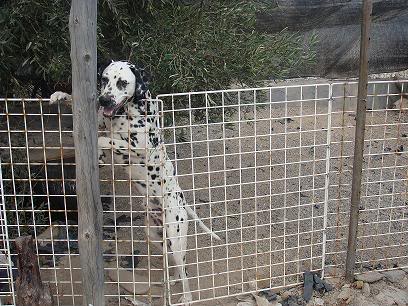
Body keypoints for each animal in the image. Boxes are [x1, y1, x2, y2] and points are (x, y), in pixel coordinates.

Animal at [52, 59, 222, 304]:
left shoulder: (138, 147)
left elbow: (105, 139)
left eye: (122, 82)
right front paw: (61, 95)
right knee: (175, 266)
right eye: (104, 79)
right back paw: (171, 281)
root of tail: (182, 202)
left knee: (185, 270)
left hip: (176, 238)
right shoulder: (101, 127)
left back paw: (186, 297)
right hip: (157, 238)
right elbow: (90, 118)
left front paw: (98, 144)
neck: (126, 114)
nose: (104, 99)